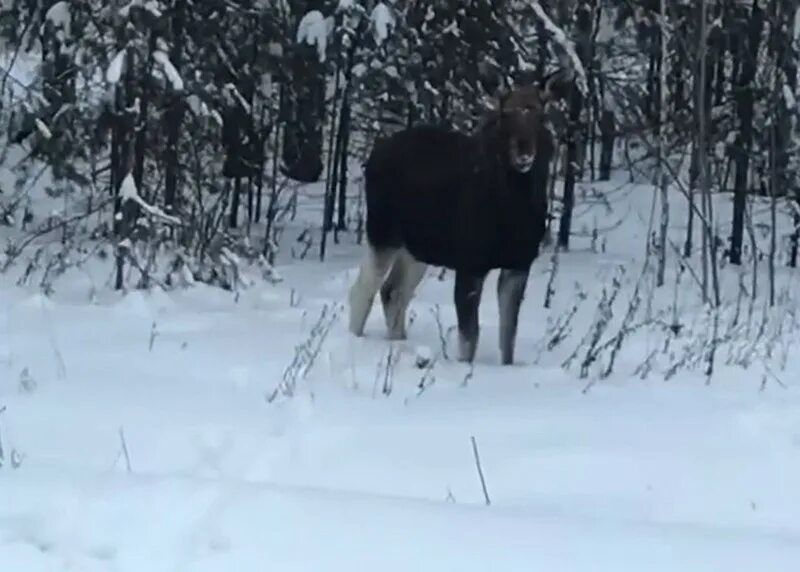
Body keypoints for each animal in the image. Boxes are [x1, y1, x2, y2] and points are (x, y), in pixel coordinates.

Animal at [348, 72, 568, 366]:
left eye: (540, 114)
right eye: (505, 114)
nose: (524, 152)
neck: (513, 210)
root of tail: (372, 158)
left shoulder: (519, 264)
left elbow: (508, 338)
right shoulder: (470, 262)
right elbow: (469, 338)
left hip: (417, 247)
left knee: (393, 292)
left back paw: (399, 342)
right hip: (382, 232)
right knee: (363, 290)